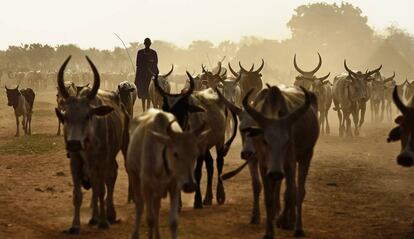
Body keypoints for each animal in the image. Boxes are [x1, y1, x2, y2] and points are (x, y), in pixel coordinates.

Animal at [55, 55, 129, 233]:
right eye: (66, 116)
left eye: (88, 116)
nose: (74, 143)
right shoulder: (75, 162)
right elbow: (78, 194)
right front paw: (75, 225)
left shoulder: (101, 161)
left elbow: (101, 189)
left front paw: (103, 221)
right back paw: (96, 216)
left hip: (123, 146)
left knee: (112, 176)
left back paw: (110, 213)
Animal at [126, 109, 210, 239]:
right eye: (176, 153)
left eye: (195, 154)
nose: (190, 185)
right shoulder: (146, 185)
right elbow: (149, 219)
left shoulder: (174, 186)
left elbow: (173, 222)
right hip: (133, 175)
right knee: (140, 206)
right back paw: (135, 234)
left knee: (156, 208)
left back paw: (158, 236)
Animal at [153, 73, 236, 209]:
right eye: (165, 107)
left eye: (183, 107)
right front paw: (178, 204)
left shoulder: (200, 151)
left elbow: (197, 173)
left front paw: (197, 201)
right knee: (210, 164)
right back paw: (208, 198)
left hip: (219, 140)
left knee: (219, 162)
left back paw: (219, 195)